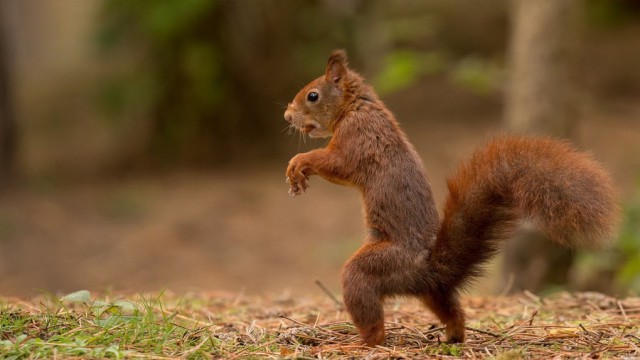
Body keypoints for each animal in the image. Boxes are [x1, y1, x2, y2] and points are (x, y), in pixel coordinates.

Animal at [282, 50, 620, 346]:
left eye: (313, 96)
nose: (287, 115)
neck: (356, 107)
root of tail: (430, 267)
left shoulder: (356, 139)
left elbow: (335, 163)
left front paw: (298, 164)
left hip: (376, 269)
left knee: (372, 318)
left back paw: (358, 343)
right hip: (430, 293)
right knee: (452, 309)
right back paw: (454, 336)